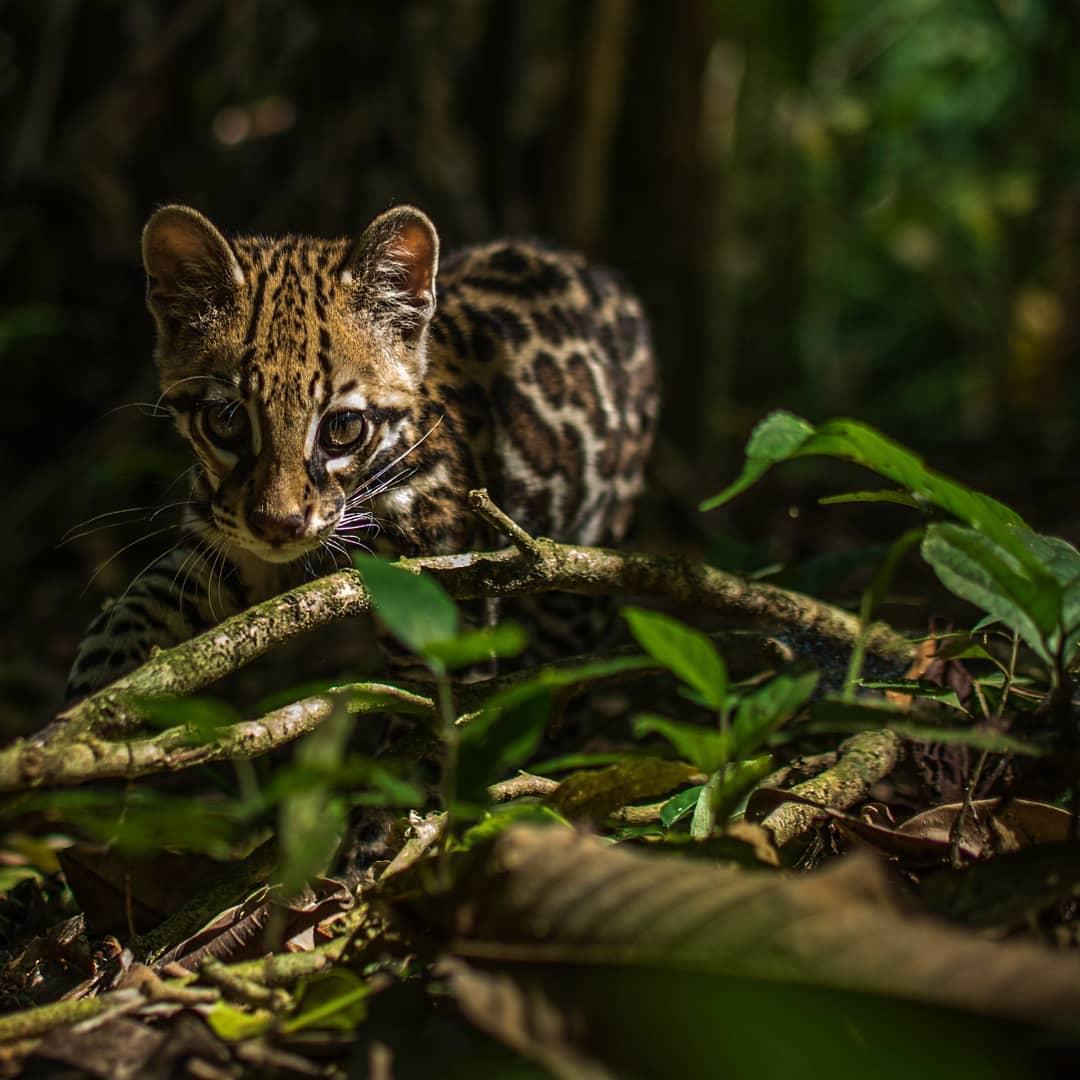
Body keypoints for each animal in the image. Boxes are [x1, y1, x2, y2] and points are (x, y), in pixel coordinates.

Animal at [69, 203, 656, 699]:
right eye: (226, 421)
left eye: (344, 428)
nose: (278, 525)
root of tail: (594, 272)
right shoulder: (221, 544)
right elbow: (126, 618)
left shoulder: (444, 591)